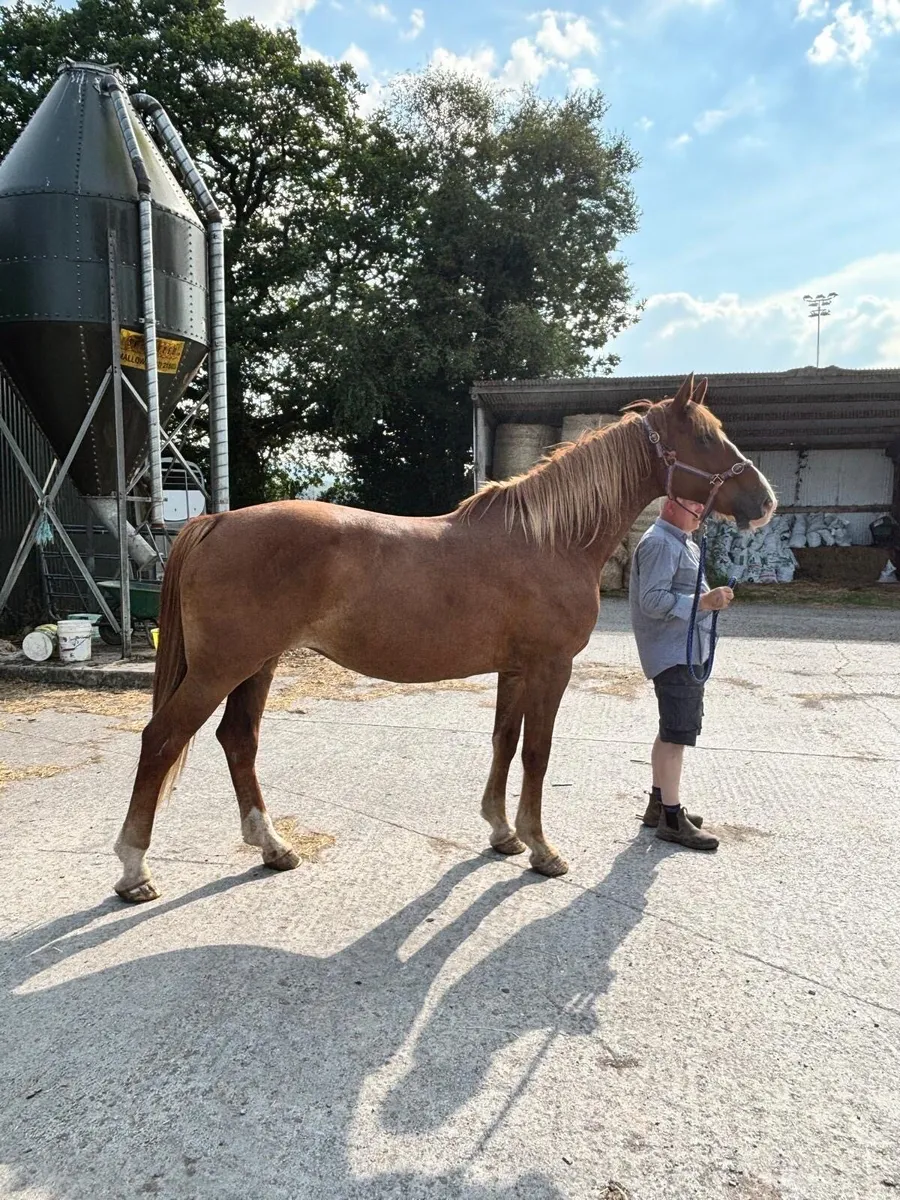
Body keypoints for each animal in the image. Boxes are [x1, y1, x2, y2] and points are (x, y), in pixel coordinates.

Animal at [113, 375, 776, 902]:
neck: (549, 538)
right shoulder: (549, 668)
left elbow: (504, 743)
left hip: (259, 663)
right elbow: (537, 754)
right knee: (162, 739)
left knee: (238, 740)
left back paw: (273, 847)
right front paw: (542, 849)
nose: (766, 502)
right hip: (221, 668)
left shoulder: (514, 670)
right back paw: (134, 871)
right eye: (708, 438)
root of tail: (216, 520)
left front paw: (503, 834)